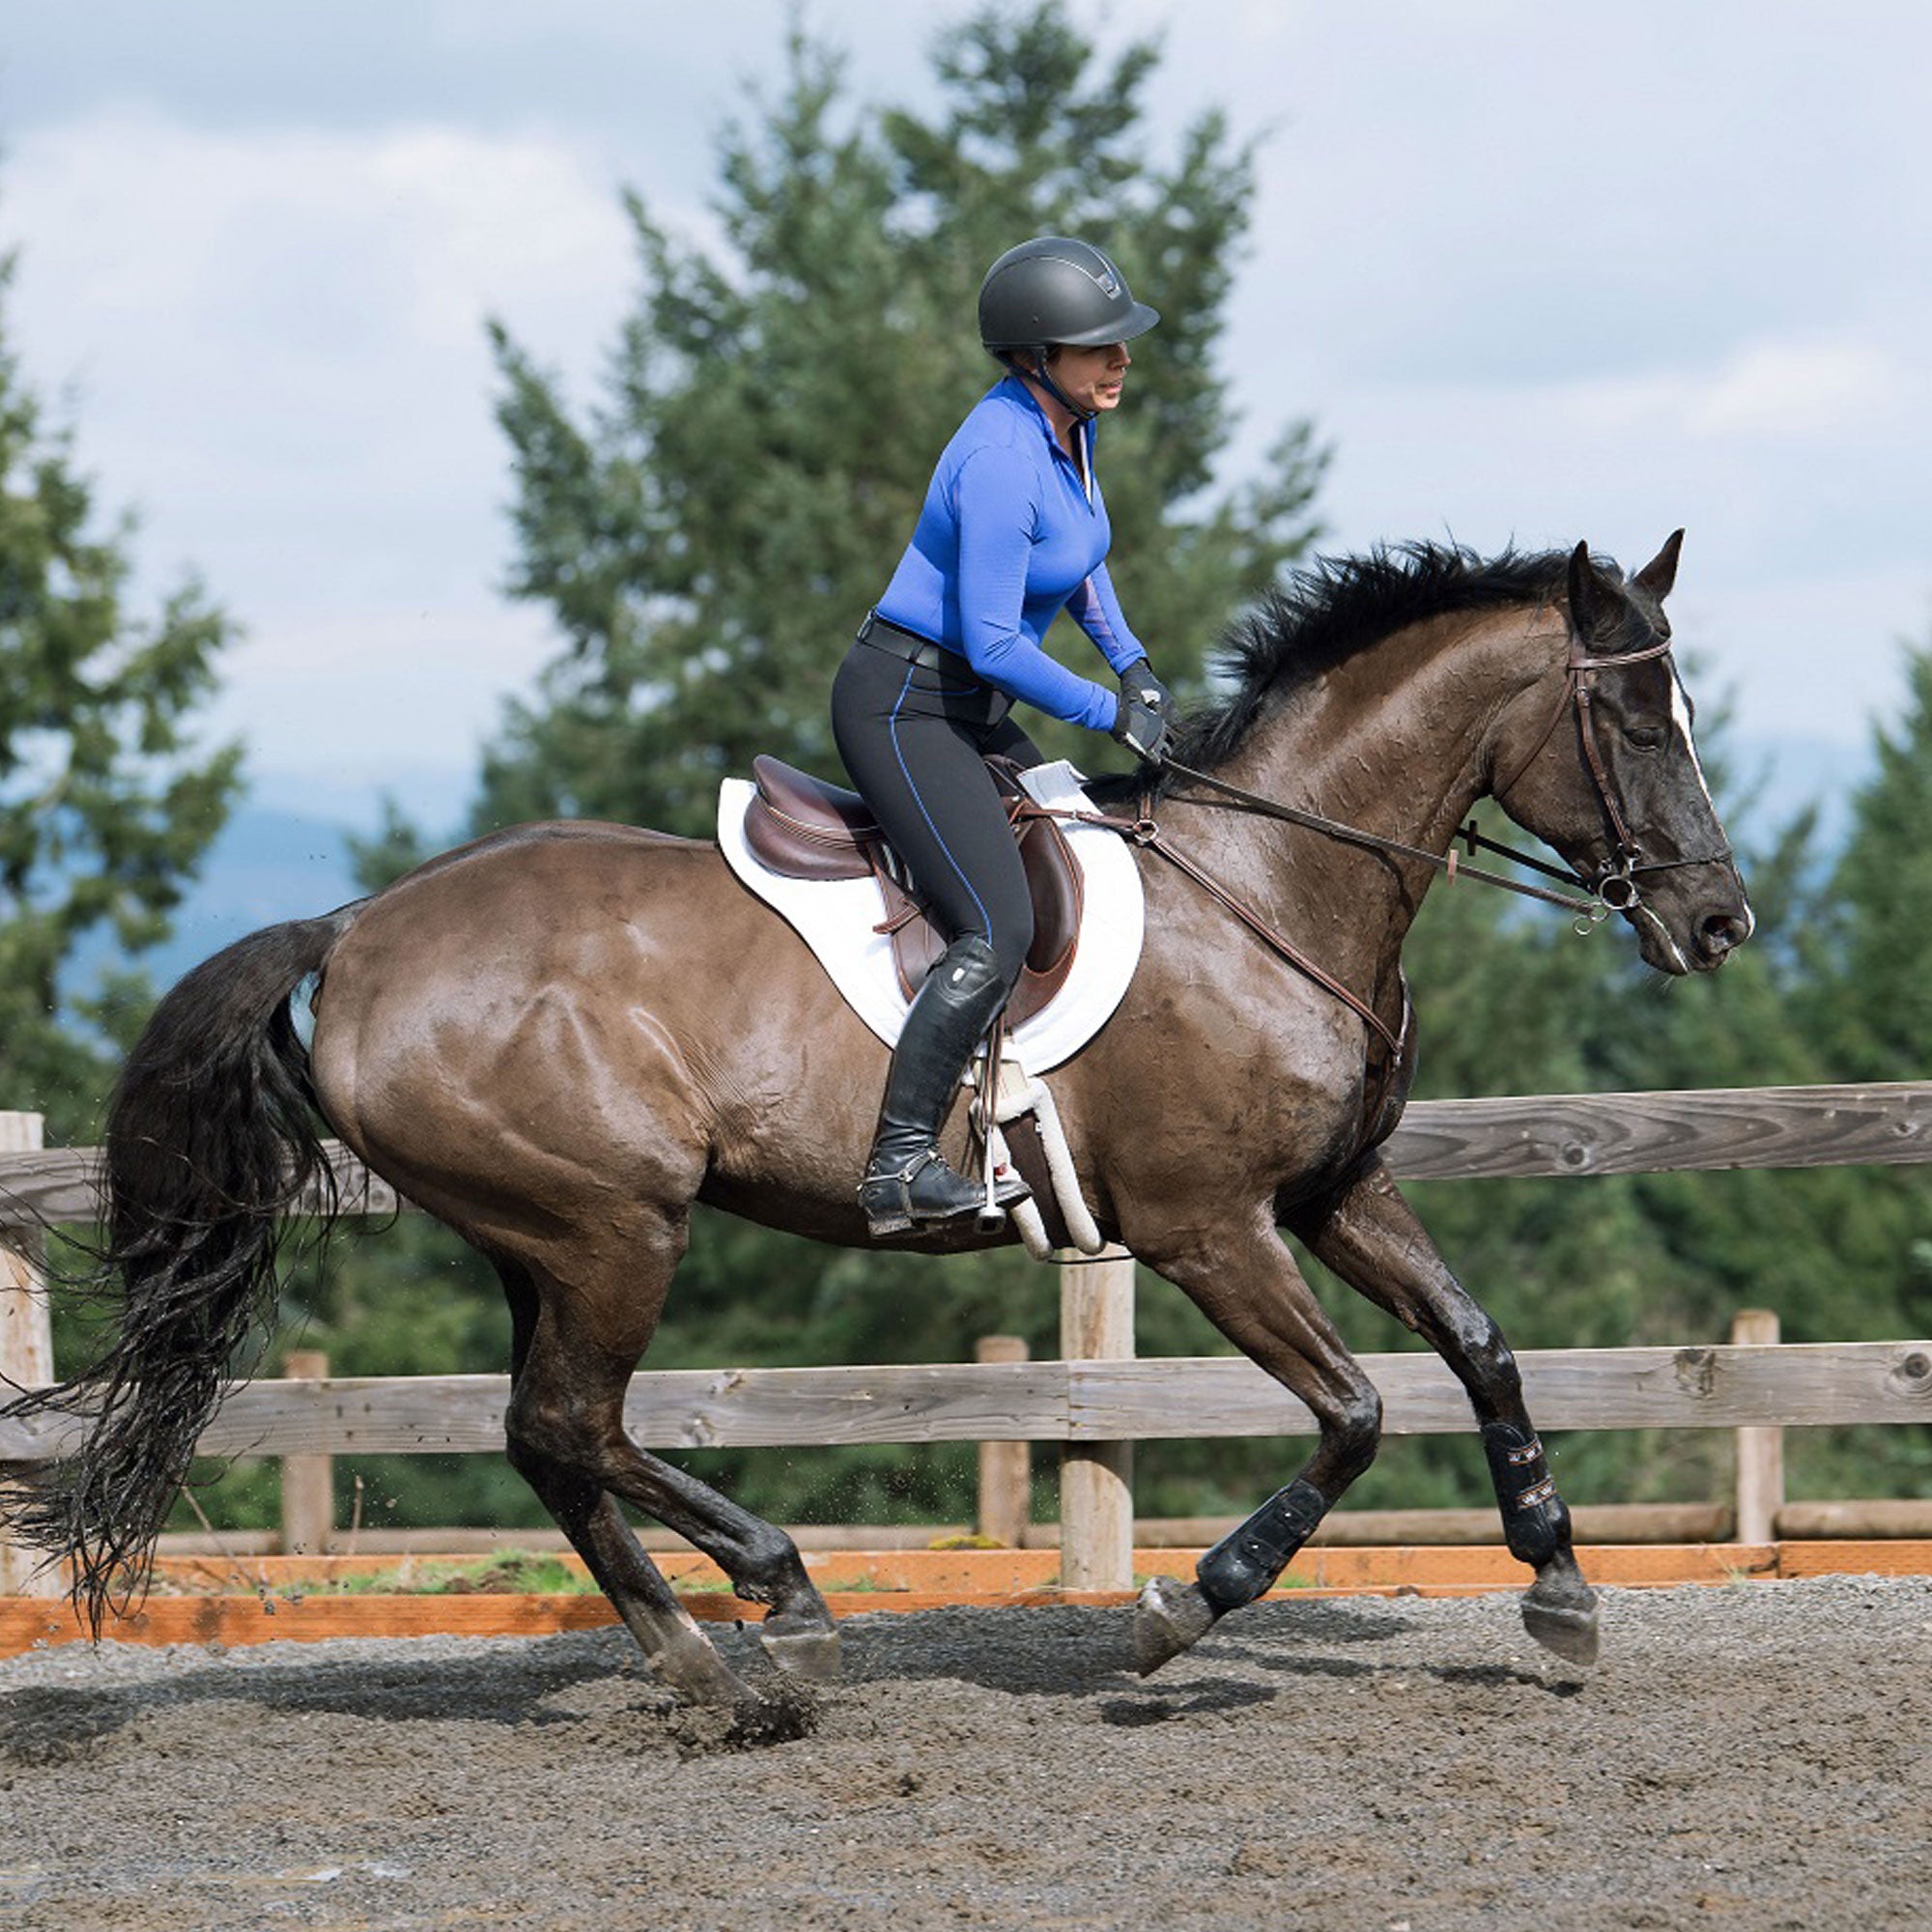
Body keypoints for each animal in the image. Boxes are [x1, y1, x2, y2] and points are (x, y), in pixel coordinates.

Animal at [0, 529, 1754, 1708]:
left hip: (542, 1236)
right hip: (614, 1223)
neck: (1275, 881)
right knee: (571, 1427)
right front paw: (1184, 1610)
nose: (1721, 926)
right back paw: (769, 1624)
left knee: (554, 1438)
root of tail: (358, 928)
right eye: (1639, 722)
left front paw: (1562, 1590)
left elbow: (1485, 1349)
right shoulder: (1210, 1228)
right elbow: (1355, 1414)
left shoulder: (1335, 1193)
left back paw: (722, 1648)